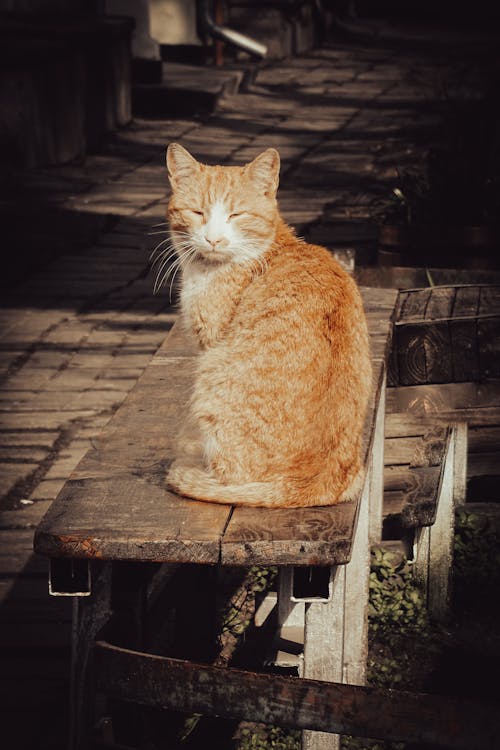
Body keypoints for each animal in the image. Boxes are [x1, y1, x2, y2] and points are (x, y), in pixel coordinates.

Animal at [164, 142, 372, 506]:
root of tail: (310, 485)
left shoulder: (210, 339)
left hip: (210, 376)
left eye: (236, 215)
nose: (214, 239)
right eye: (197, 212)